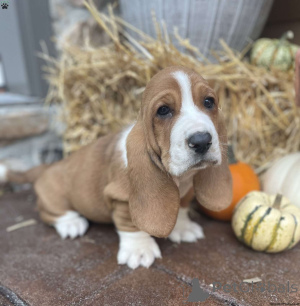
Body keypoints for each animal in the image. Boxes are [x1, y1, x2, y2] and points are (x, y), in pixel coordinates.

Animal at [0, 66, 232, 268]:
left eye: (209, 102)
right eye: (163, 110)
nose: (201, 141)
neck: (179, 179)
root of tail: (48, 167)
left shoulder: (186, 192)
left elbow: (182, 207)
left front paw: (183, 227)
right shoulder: (121, 199)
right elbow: (131, 224)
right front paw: (139, 250)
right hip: (54, 196)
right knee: (48, 211)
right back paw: (71, 223)